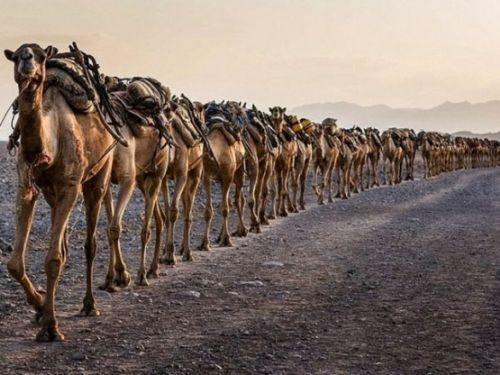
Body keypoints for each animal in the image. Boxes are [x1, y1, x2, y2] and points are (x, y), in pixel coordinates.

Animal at [4, 44, 115, 344]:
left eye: (41, 56)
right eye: (15, 56)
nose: (27, 61)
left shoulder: (70, 186)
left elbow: (53, 259)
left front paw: (51, 327)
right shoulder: (26, 186)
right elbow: (14, 263)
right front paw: (40, 305)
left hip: (99, 175)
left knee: (90, 243)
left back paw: (90, 305)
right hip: (51, 193)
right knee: (63, 245)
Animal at [199, 101, 246, 251]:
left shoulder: (228, 176)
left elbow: (226, 209)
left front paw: (227, 240)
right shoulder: (207, 177)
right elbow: (209, 211)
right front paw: (204, 243)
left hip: (238, 172)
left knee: (239, 199)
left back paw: (242, 230)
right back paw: (220, 236)